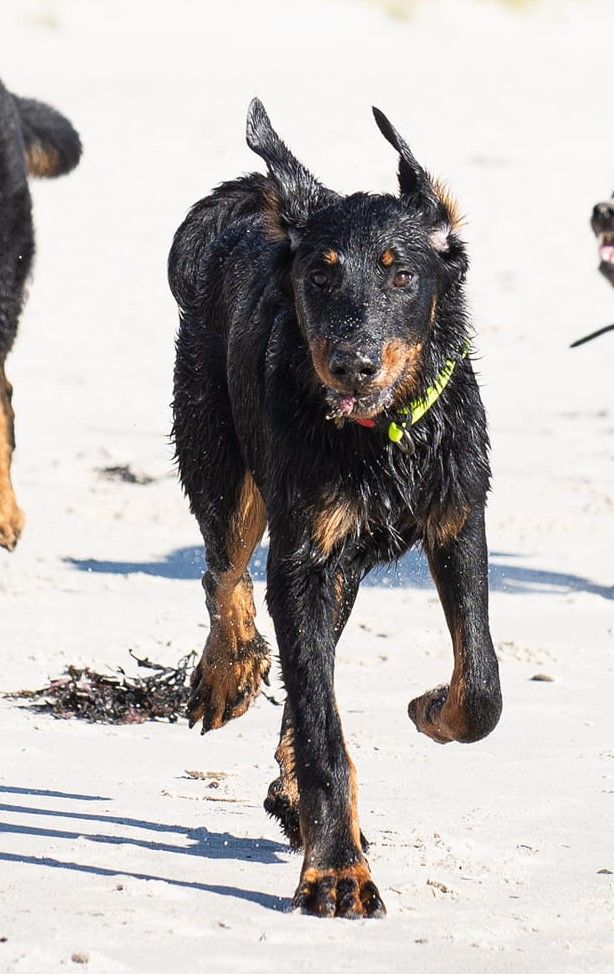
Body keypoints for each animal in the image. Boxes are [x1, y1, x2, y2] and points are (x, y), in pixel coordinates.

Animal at [169, 100, 502, 918]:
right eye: (320, 278)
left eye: (403, 274)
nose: (352, 363)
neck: (381, 436)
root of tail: (265, 207)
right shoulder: (303, 556)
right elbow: (323, 726)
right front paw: (337, 874)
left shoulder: (458, 514)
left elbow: (479, 682)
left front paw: (431, 709)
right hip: (215, 441)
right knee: (224, 566)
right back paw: (228, 671)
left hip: (345, 560)